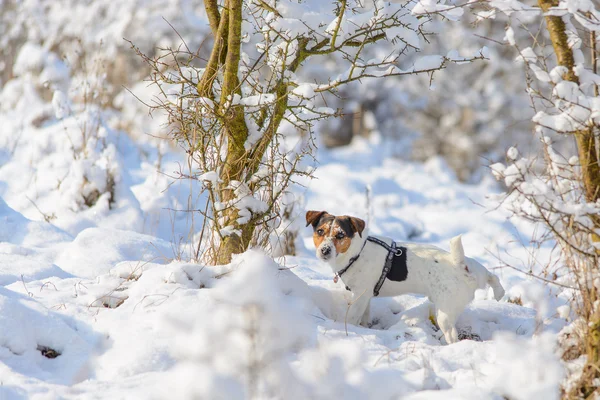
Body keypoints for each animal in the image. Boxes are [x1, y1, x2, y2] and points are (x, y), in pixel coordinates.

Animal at [304, 209, 506, 344]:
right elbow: (365, 316)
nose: (325, 251)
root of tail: (462, 266)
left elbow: (352, 317)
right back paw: (499, 293)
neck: (357, 252)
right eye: (320, 231)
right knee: (492, 276)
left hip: (445, 313)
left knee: (452, 336)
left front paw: (350, 331)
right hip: (475, 271)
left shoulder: (360, 295)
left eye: (340, 235)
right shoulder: (365, 296)